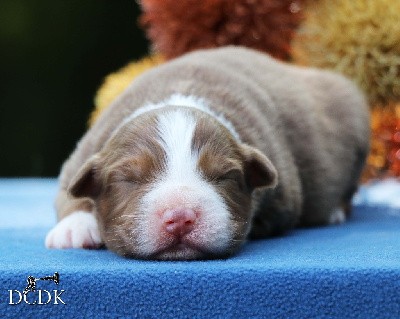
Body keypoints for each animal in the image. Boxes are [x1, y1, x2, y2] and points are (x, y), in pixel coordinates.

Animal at [45, 47, 370, 260]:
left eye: (223, 177)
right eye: (129, 179)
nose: (180, 217)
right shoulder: (85, 153)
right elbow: (68, 192)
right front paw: (75, 227)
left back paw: (335, 210)